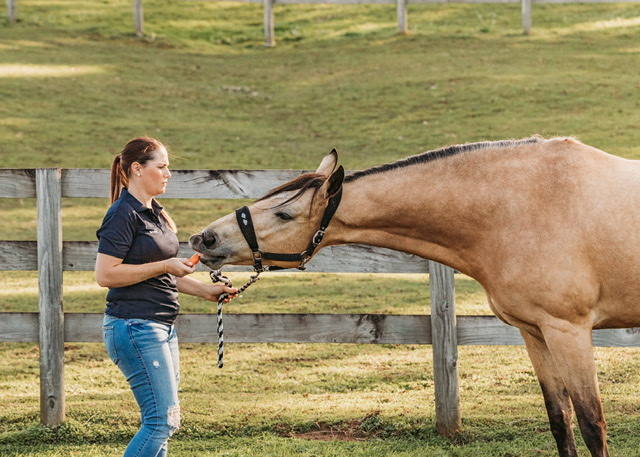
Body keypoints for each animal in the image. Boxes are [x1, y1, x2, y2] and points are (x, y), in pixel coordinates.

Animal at [188, 136, 640, 456]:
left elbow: (592, 425)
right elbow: (560, 421)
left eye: (284, 213)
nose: (204, 238)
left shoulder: (568, 331)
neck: (520, 206)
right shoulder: (535, 333)